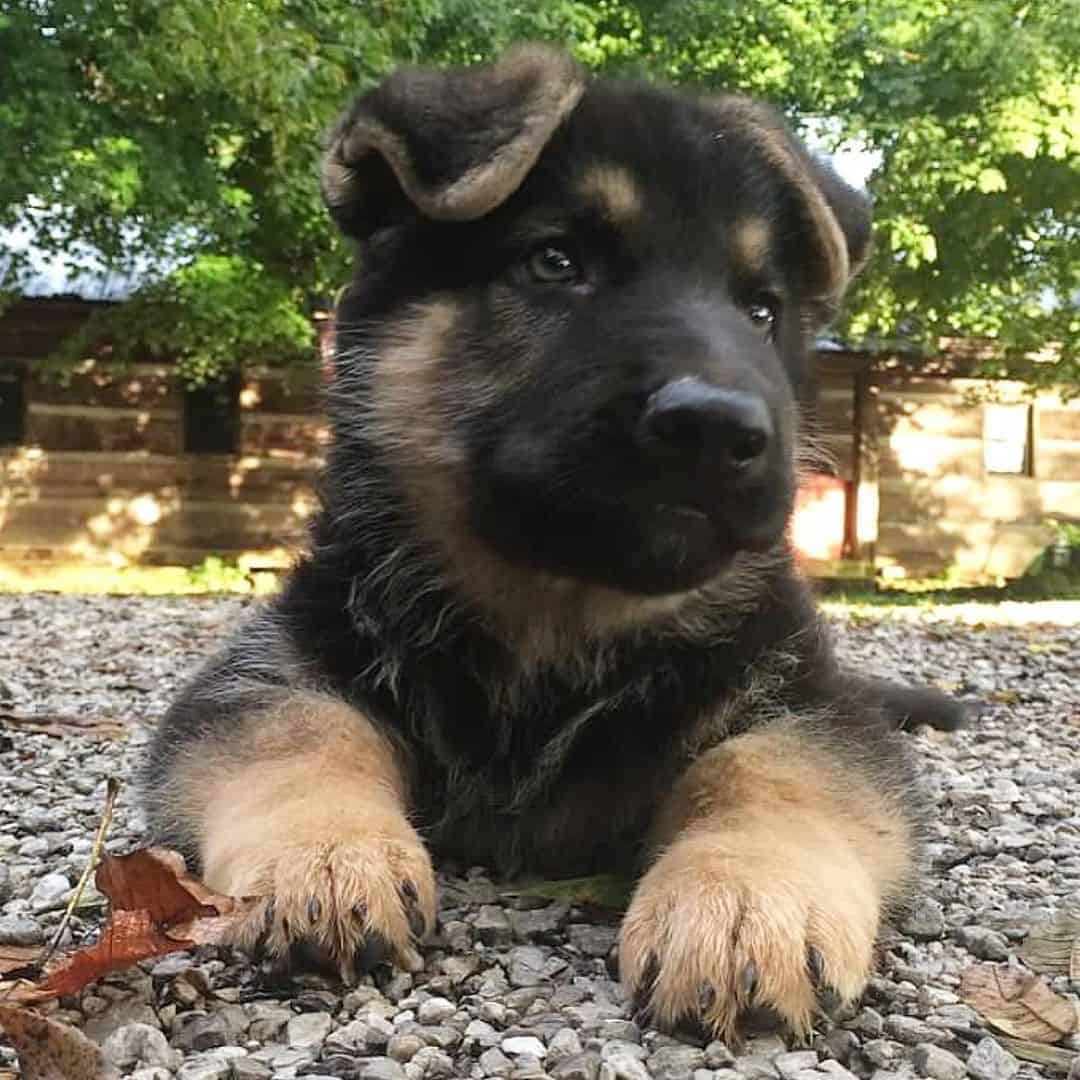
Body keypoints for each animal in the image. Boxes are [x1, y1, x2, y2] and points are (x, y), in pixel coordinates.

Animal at [143, 46, 963, 1041]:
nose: (719, 429)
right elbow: (299, 730)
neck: (553, 618)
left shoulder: (809, 700)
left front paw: (746, 901)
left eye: (762, 312)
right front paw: (327, 853)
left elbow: (771, 770)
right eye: (555, 261)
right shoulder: (271, 665)